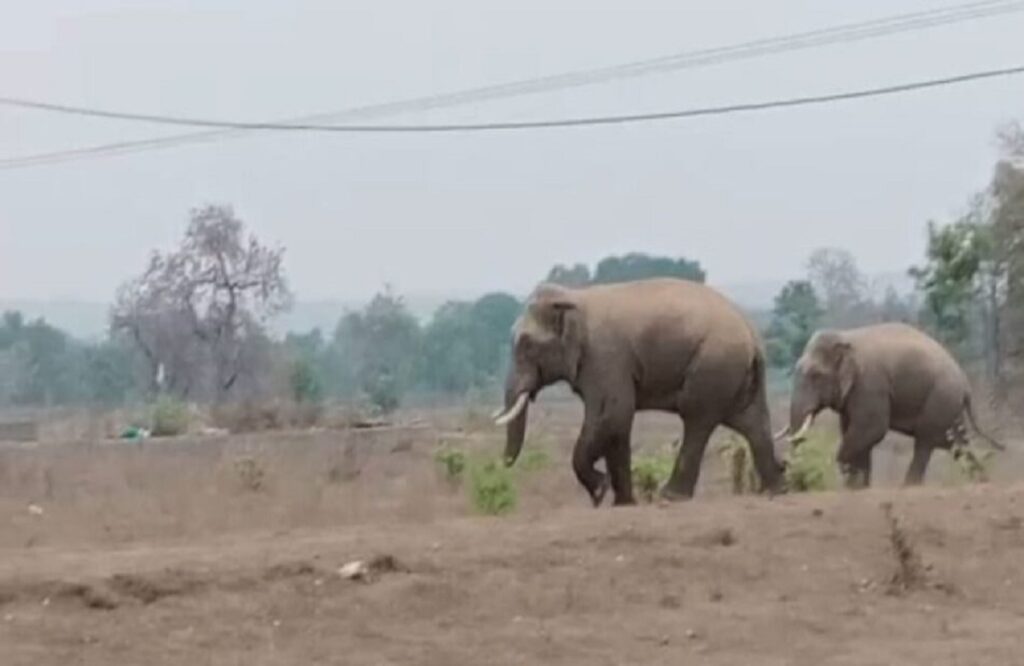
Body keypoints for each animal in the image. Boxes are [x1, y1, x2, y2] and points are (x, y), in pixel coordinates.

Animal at [490, 277, 785, 506]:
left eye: (526, 345)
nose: (501, 467)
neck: (574, 297)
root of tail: (753, 335)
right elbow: (618, 425)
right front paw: (622, 503)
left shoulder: (605, 358)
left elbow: (613, 414)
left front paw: (599, 491)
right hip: (735, 375)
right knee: (751, 423)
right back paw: (774, 490)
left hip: (713, 366)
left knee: (697, 419)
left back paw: (671, 497)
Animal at [779, 322, 1005, 488]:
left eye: (816, 376)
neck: (845, 337)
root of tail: (966, 384)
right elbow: (854, 430)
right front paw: (859, 486)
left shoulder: (870, 384)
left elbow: (872, 429)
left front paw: (849, 477)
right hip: (949, 405)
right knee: (955, 443)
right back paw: (983, 481)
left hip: (941, 397)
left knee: (925, 442)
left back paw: (909, 487)